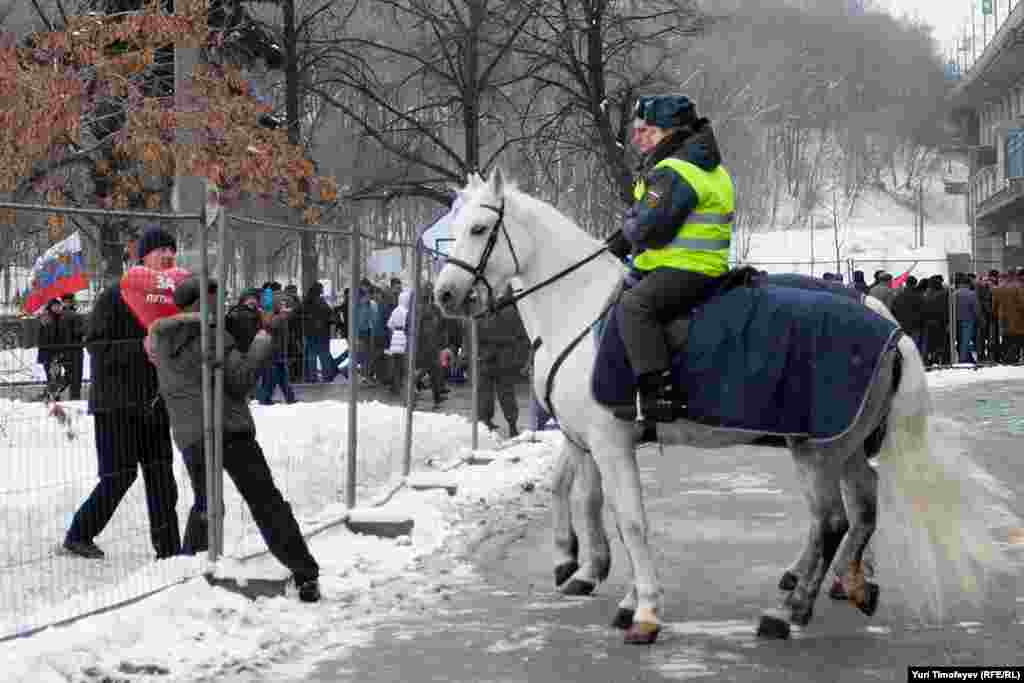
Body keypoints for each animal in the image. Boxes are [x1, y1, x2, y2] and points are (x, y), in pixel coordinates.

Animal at [432, 167, 1007, 643]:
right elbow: (588, 498)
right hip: (841, 445)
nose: (443, 296)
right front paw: (590, 571)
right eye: (453, 228)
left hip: (817, 449)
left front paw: (642, 610)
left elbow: (630, 519)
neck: (578, 306)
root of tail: (892, 331)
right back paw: (844, 585)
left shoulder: (609, 440)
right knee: (860, 509)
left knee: (831, 521)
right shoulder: (587, 439)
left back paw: (788, 610)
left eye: (479, 230)